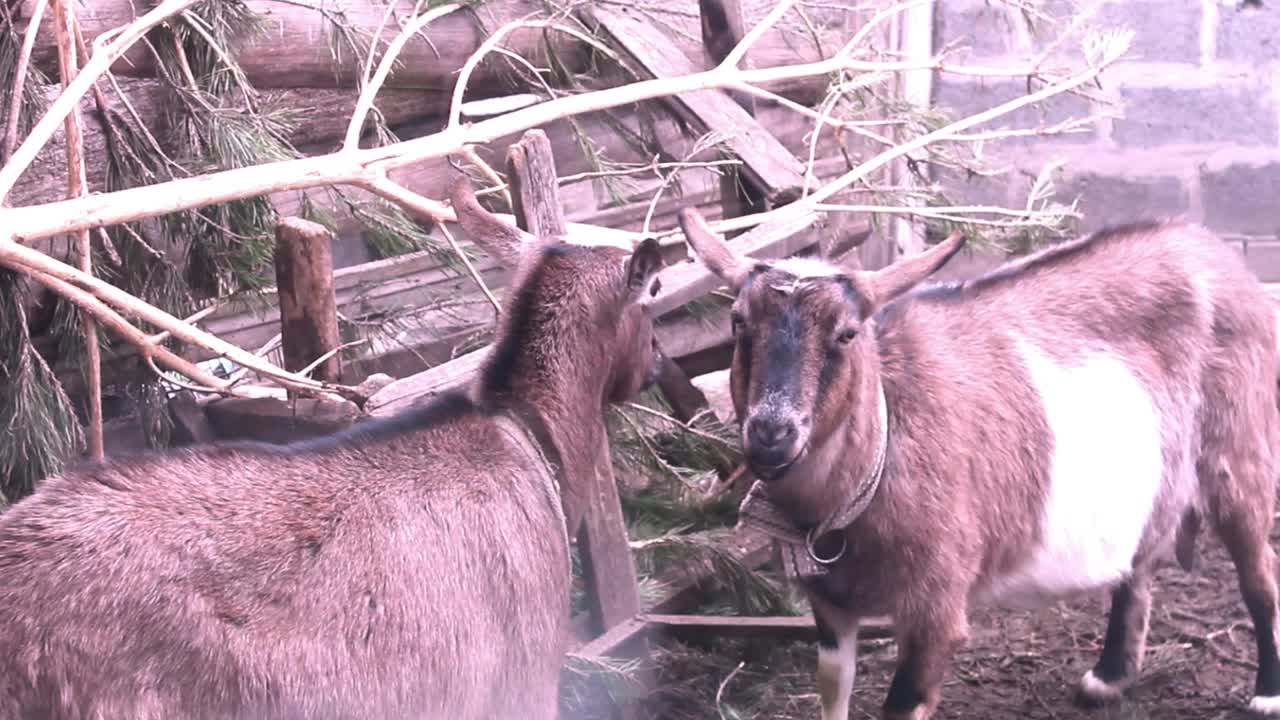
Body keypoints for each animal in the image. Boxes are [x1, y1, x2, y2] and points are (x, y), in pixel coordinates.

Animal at [686, 208, 1280, 720]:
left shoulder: (936, 606)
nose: (771, 432)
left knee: (1258, 570)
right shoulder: (830, 606)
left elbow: (903, 701)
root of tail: (1207, 245)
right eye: (738, 322)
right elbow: (833, 691)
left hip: (1241, 448)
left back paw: (1265, 694)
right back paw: (1107, 679)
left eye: (847, 333)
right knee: (1141, 559)